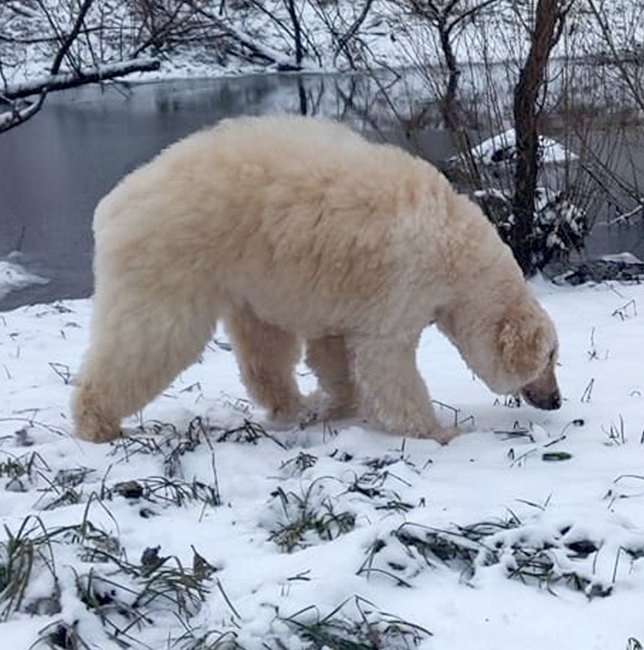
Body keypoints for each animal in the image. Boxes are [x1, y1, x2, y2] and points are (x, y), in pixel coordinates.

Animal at [71, 114, 561, 444]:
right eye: (550, 359)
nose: (556, 399)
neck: (456, 247)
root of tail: (113, 204)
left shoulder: (346, 299)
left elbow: (333, 351)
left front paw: (336, 404)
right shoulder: (403, 286)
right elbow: (388, 367)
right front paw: (442, 431)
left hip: (245, 271)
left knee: (263, 347)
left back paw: (295, 404)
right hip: (172, 259)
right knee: (149, 339)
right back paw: (96, 422)